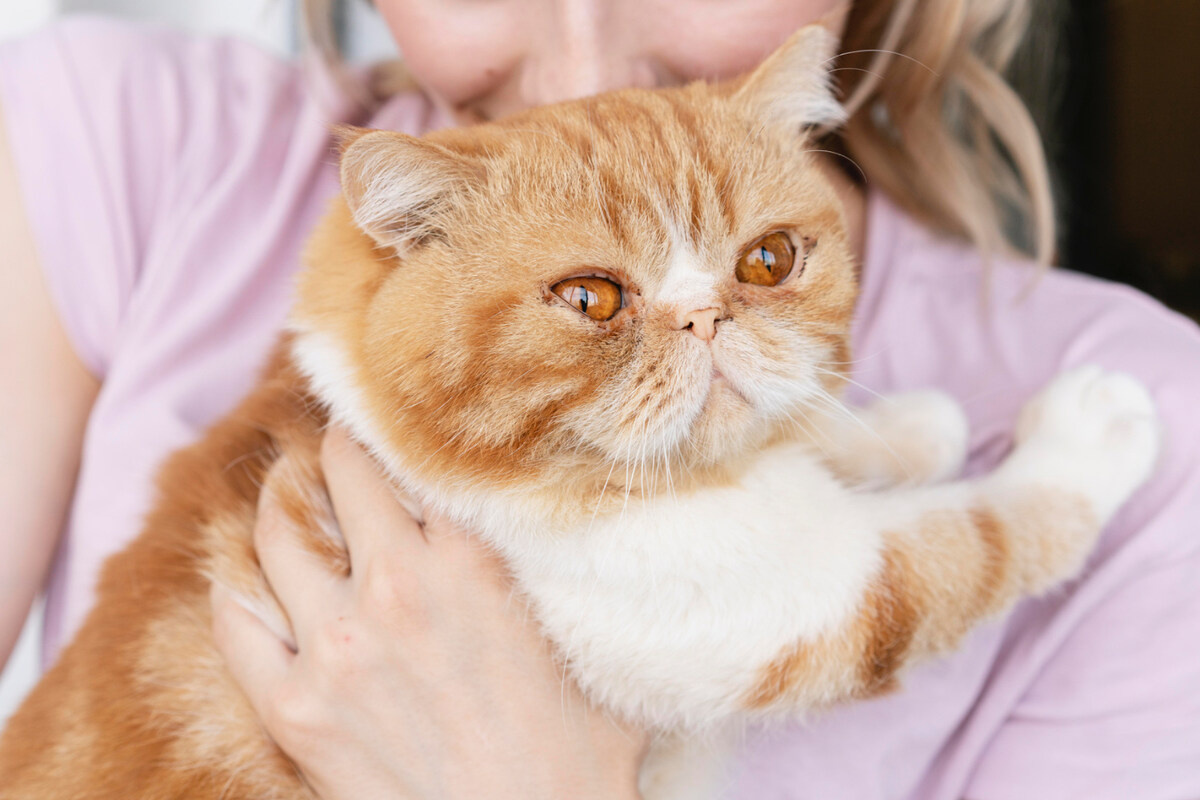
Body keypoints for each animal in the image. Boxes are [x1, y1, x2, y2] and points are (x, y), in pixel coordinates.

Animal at [0, 26, 1161, 800]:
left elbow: (814, 427)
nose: (704, 319)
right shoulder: (780, 597)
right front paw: (1093, 426)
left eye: (768, 261)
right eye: (593, 299)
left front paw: (904, 426)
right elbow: (988, 533)